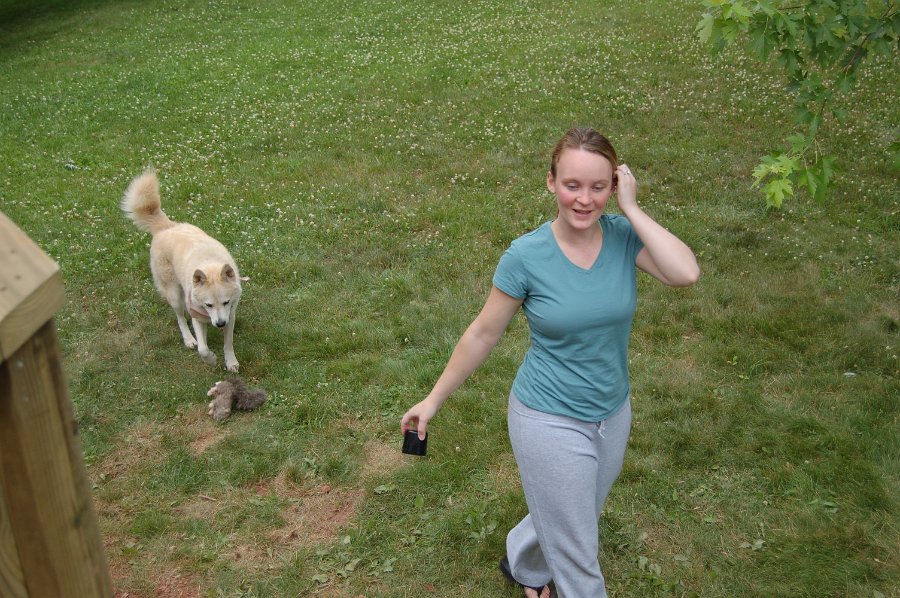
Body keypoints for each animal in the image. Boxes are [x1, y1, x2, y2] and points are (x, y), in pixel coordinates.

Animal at [122, 169, 242, 371]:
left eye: (225, 302)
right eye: (209, 305)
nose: (219, 324)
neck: (209, 263)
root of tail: (166, 227)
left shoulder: (230, 314)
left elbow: (228, 343)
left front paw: (231, 361)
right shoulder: (198, 317)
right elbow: (202, 348)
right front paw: (211, 359)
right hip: (174, 294)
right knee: (180, 317)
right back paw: (188, 339)